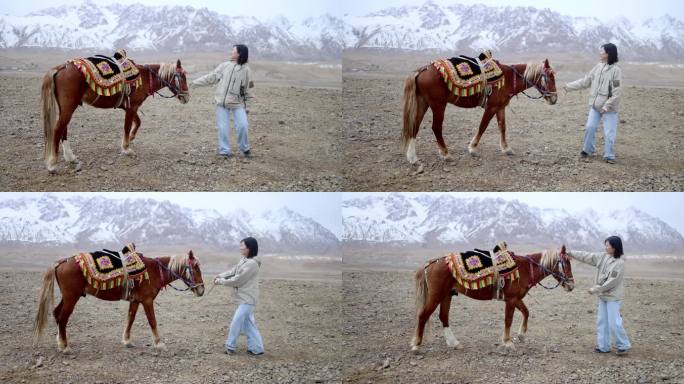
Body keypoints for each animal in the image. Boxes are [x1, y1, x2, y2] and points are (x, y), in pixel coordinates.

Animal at [33, 249, 203, 352]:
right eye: (195, 268)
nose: (202, 290)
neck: (153, 271)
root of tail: (61, 262)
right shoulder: (147, 300)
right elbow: (152, 321)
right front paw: (159, 343)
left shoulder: (135, 300)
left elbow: (130, 319)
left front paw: (127, 341)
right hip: (71, 298)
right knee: (63, 318)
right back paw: (64, 346)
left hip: (68, 297)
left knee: (57, 314)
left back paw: (60, 342)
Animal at [41, 58, 190, 172]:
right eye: (182, 77)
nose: (187, 98)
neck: (144, 77)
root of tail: (60, 68)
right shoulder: (132, 107)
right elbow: (127, 126)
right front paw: (126, 148)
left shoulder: (130, 107)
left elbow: (138, 122)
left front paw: (131, 138)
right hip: (68, 107)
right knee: (58, 129)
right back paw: (52, 164)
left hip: (66, 107)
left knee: (63, 129)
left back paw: (70, 157)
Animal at [404, 59, 560, 166]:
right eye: (549, 76)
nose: (554, 98)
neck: (508, 78)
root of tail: (421, 70)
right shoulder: (491, 107)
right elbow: (483, 126)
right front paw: (472, 148)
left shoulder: (500, 107)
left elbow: (502, 127)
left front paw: (506, 148)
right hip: (438, 105)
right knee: (436, 127)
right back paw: (446, 154)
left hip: (423, 103)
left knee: (415, 125)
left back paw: (412, 157)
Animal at [412, 244, 572, 352]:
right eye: (566, 263)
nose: (571, 285)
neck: (525, 268)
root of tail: (431, 263)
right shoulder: (511, 299)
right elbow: (508, 320)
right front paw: (507, 342)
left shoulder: (516, 298)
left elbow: (526, 312)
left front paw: (521, 335)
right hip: (436, 295)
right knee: (423, 315)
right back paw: (416, 345)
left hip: (447, 295)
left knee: (443, 316)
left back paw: (454, 343)